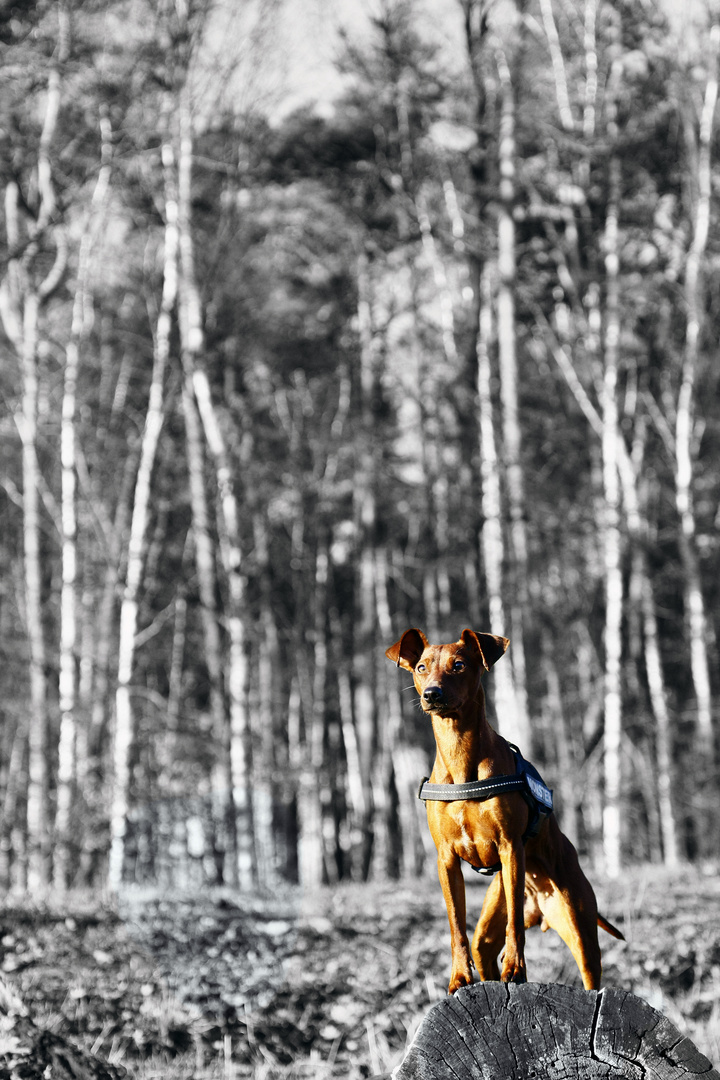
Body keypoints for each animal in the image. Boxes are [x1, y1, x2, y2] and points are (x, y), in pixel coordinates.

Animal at [386, 630, 621, 989]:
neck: (459, 754)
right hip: (489, 928)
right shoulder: (446, 859)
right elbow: (456, 925)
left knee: (587, 967)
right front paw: (459, 977)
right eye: (422, 667)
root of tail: (537, 898)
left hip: (578, 925)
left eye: (458, 665)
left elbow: (513, 922)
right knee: (482, 945)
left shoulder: (510, 848)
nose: (432, 694)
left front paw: (515, 968)